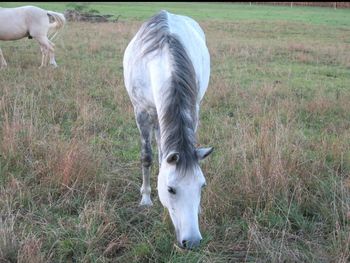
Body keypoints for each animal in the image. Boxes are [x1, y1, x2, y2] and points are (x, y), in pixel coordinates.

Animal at [123, 9, 213, 250]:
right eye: (171, 189)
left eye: (202, 186)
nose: (192, 242)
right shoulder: (141, 113)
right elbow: (146, 156)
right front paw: (146, 198)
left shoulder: (194, 109)